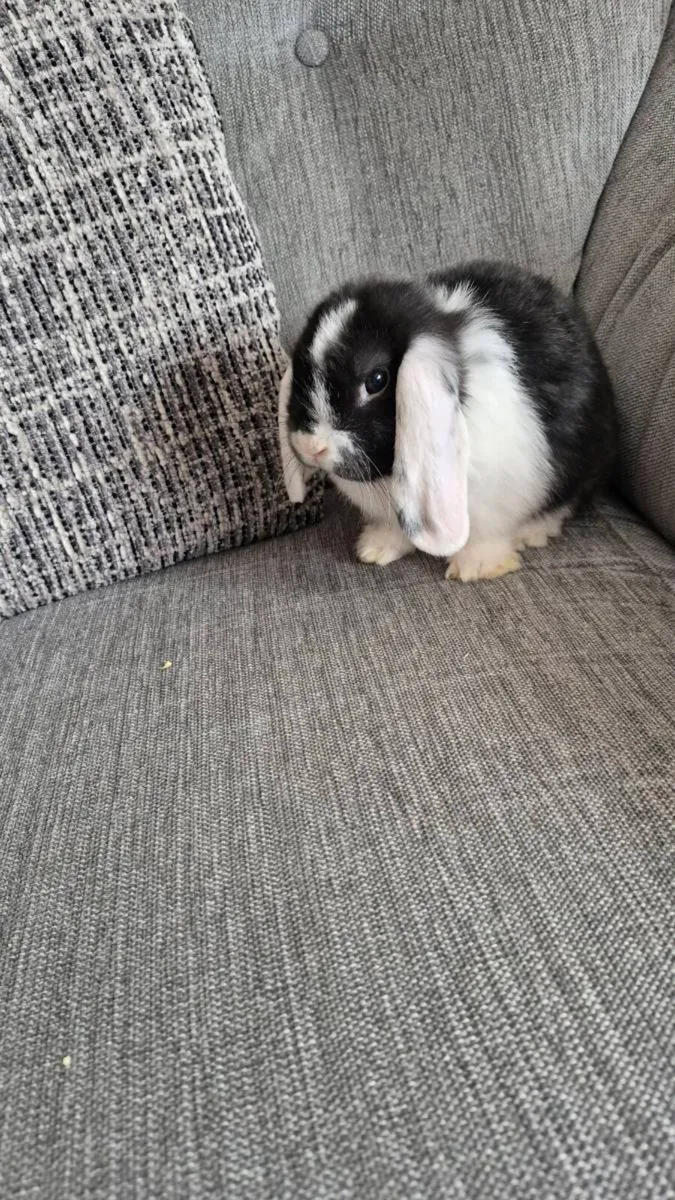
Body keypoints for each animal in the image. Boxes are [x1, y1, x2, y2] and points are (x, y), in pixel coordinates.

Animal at [278, 261, 617, 582]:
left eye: (376, 380)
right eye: (300, 369)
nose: (310, 447)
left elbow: (487, 536)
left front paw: (475, 568)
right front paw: (374, 549)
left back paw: (532, 532)